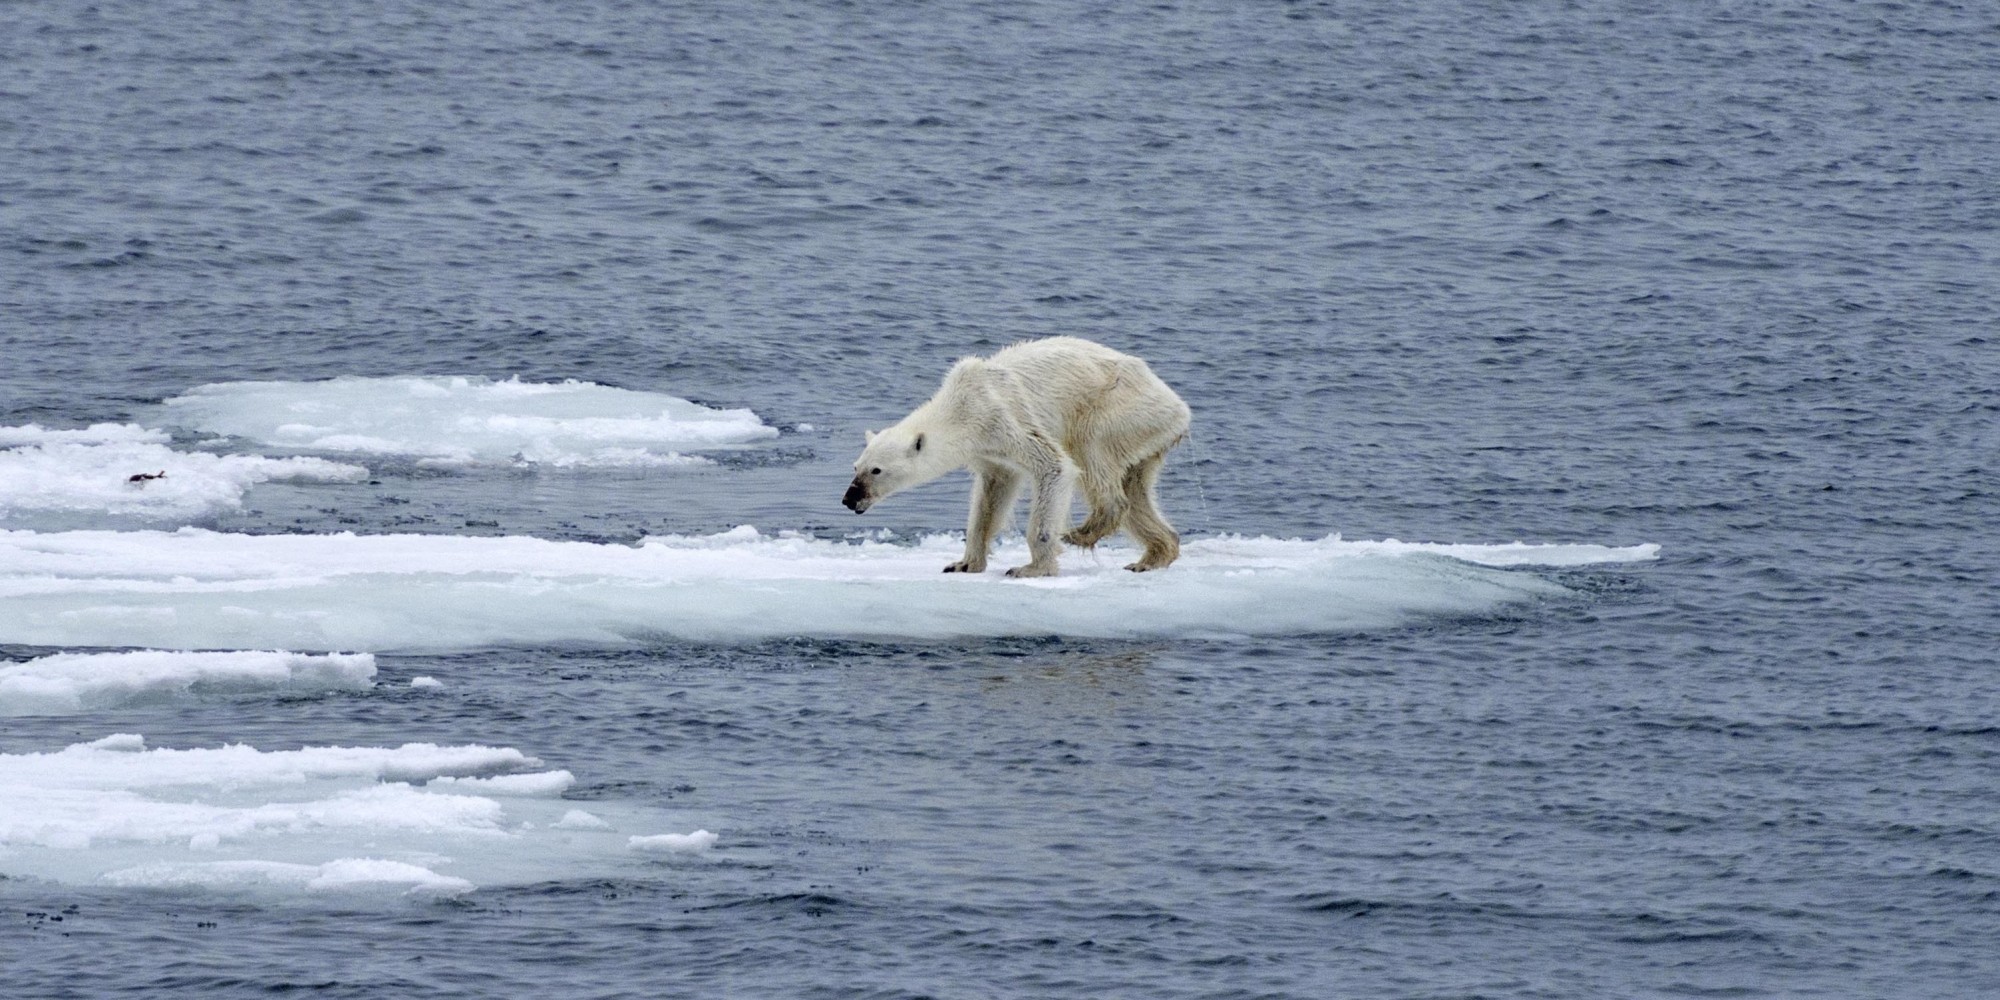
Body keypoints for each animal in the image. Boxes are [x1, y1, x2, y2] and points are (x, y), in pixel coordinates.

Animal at [840, 336, 1184, 580]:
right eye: (856, 467)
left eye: (876, 470)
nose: (849, 498)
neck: (961, 406)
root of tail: (1178, 406)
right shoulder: (988, 451)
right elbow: (991, 496)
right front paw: (963, 563)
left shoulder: (1003, 418)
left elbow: (1054, 466)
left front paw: (1031, 568)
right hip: (1145, 434)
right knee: (1136, 489)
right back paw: (1152, 557)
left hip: (1119, 409)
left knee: (1092, 453)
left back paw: (1082, 532)